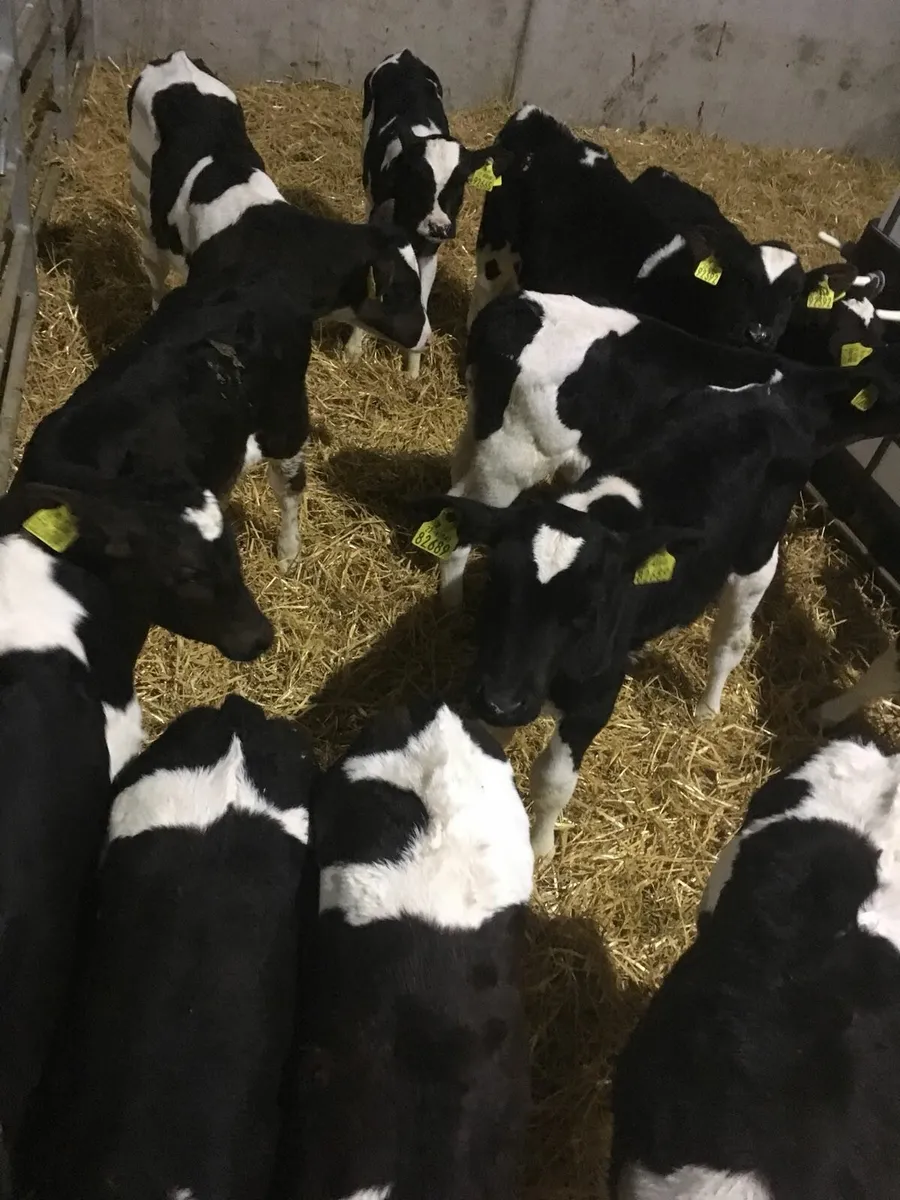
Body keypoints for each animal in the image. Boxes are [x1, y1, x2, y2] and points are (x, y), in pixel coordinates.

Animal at [345, 49, 510, 377]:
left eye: (460, 184)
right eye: (420, 180)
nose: (439, 227)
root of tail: (404, 54)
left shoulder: (430, 252)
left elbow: (420, 300)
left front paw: (412, 371)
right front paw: (354, 349)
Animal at [434, 377, 900, 857]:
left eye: (590, 608)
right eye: (497, 579)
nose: (502, 701)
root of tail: (775, 395)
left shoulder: (594, 700)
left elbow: (552, 781)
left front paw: (541, 847)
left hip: (757, 559)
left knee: (730, 642)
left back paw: (707, 708)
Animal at [468, 107, 804, 349]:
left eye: (793, 296)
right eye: (744, 280)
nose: (759, 335)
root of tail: (539, 116)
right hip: (495, 244)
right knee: (485, 290)